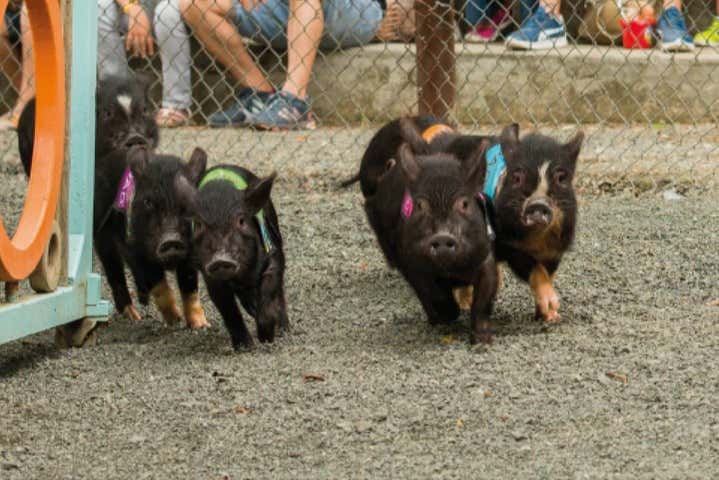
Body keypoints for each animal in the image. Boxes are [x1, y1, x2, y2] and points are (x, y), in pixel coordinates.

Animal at [94, 145, 209, 329]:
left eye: (189, 202)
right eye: (148, 202)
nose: (171, 239)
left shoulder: (191, 251)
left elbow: (190, 287)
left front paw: (202, 325)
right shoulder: (133, 247)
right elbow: (157, 281)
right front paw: (175, 320)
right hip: (102, 234)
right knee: (114, 271)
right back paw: (134, 316)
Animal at [174, 163, 289, 351]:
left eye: (241, 220)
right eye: (199, 224)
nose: (221, 259)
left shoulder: (273, 253)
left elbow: (270, 286)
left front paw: (267, 338)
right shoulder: (210, 275)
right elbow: (228, 309)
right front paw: (245, 347)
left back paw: (283, 328)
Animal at [357, 118, 498, 344]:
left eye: (464, 203)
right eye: (420, 205)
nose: (442, 236)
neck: (451, 270)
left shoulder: (485, 254)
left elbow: (484, 297)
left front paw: (482, 341)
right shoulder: (411, 261)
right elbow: (432, 293)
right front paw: (449, 317)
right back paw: (435, 320)